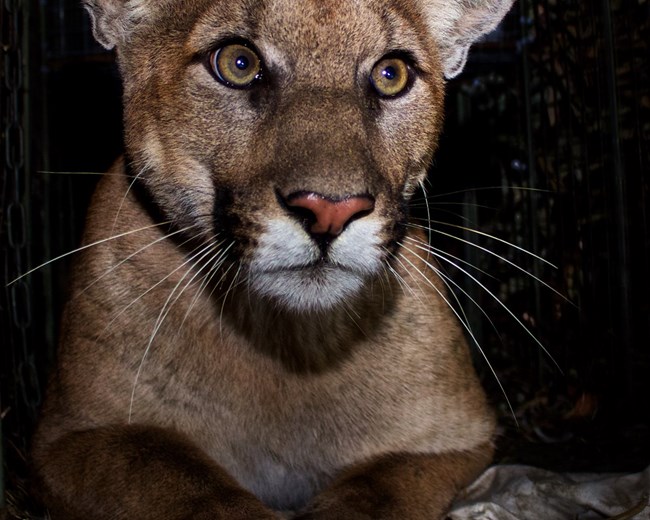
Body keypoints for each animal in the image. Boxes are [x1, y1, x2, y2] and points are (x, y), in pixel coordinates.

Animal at [34, 2, 512, 516]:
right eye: (238, 64)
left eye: (392, 74)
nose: (330, 210)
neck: (284, 344)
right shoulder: (70, 437)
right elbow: (177, 476)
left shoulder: (454, 438)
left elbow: (376, 491)